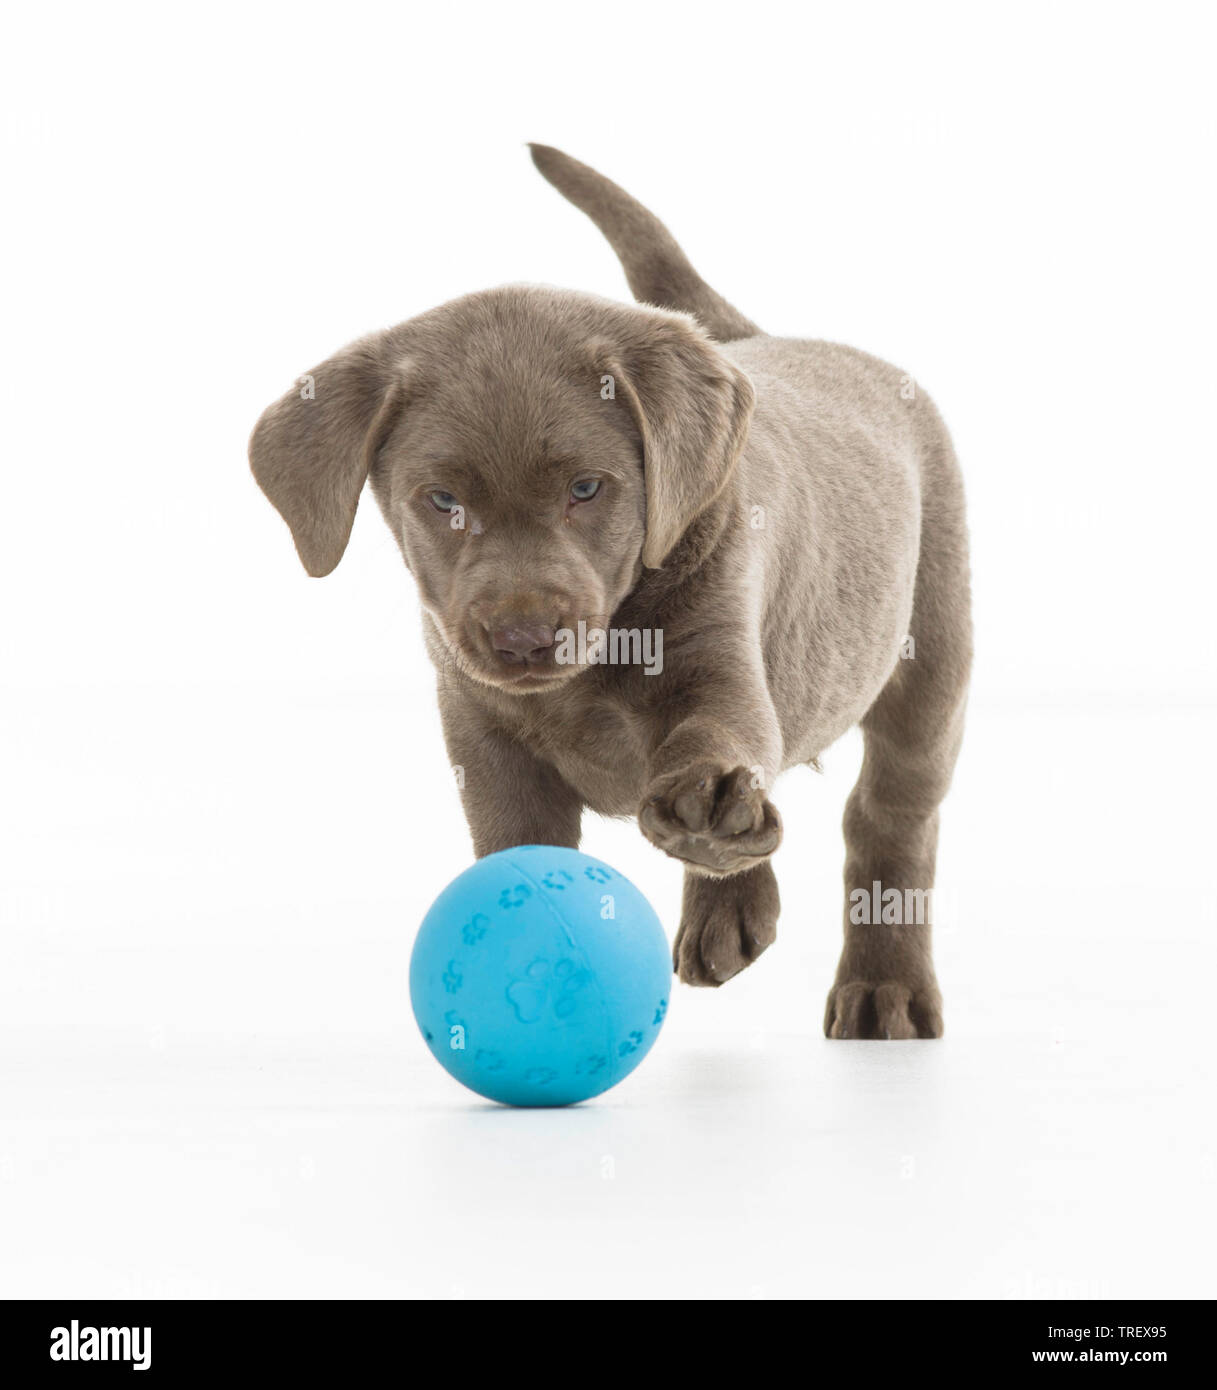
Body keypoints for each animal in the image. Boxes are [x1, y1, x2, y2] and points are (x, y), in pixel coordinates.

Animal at [247, 146, 972, 1039]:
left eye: (587, 489)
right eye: (443, 502)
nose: (523, 639)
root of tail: (763, 339)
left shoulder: (722, 663)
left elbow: (718, 734)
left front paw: (708, 805)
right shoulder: (482, 735)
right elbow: (517, 852)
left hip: (933, 650)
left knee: (889, 819)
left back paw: (880, 986)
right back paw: (733, 907)